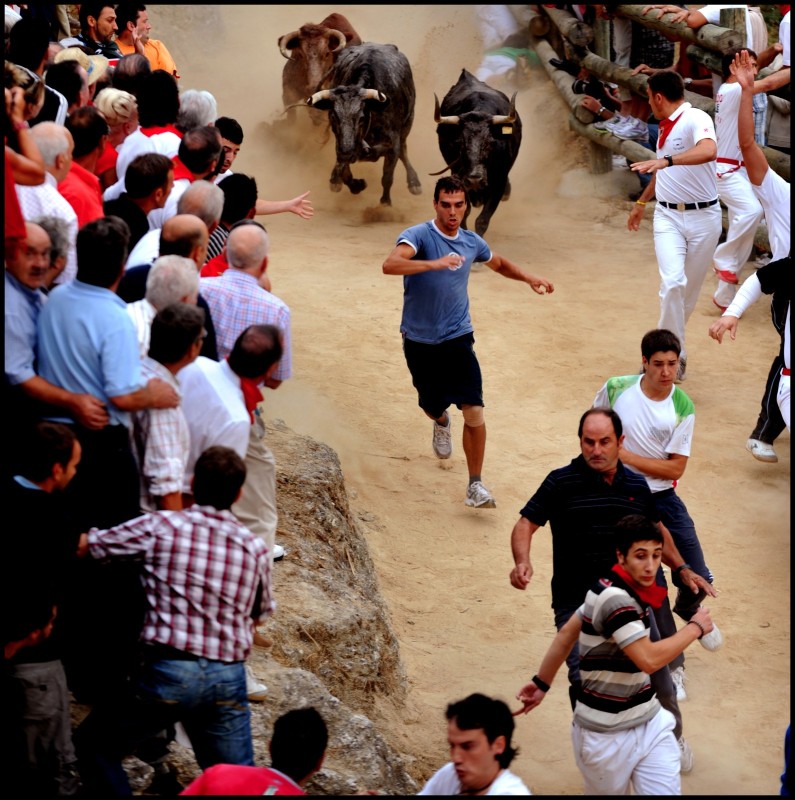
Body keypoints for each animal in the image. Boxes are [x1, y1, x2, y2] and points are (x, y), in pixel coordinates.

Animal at [304, 41, 422, 205]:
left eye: (361, 117)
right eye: (333, 115)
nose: (346, 152)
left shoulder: (393, 144)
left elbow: (387, 177)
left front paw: (385, 204)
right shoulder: (342, 147)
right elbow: (344, 171)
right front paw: (352, 184)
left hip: (408, 123)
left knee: (404, 149)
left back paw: (414, 182)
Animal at [436, 69, 524, 234]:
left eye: (490, 142)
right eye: (460, 143)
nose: (474, 179)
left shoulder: (499, 180)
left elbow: (482, 220)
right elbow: (464, 213)